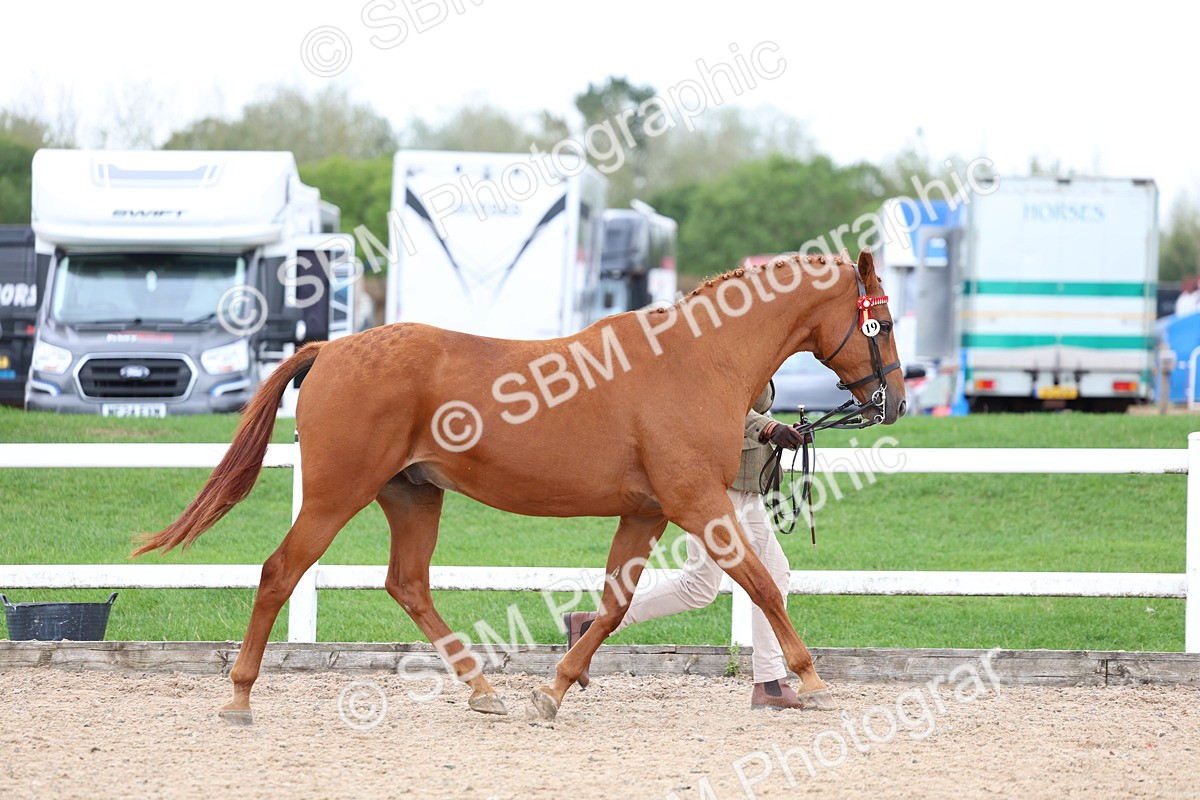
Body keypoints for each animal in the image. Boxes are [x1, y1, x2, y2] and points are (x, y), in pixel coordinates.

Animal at [132, 248, 905, 724]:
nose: (893, 400)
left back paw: (482, 690)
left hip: (413, 494)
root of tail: (332, 348)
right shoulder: (698, 505)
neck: (693, 360)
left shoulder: (647, 513)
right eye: (884, 322)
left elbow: (615, 606)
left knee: (407, 584)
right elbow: (765, 586)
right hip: (334, 495)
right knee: (280, 572)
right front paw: (811, 679)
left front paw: (554, 690)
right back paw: (239, 697)